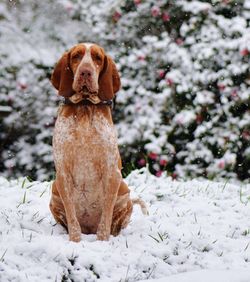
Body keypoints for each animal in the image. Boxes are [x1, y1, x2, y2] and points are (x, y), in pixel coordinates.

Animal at [49, 43, 146, 241]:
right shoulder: (62, 174)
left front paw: (102, 242)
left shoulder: (112, 173)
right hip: (54, 190)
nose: (85, 72)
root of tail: (89, 229)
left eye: (97, 58)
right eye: (76, 56)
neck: (85, 107)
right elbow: (72, 220)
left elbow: (105, 219)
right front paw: (75, 242)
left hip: (124, 191)